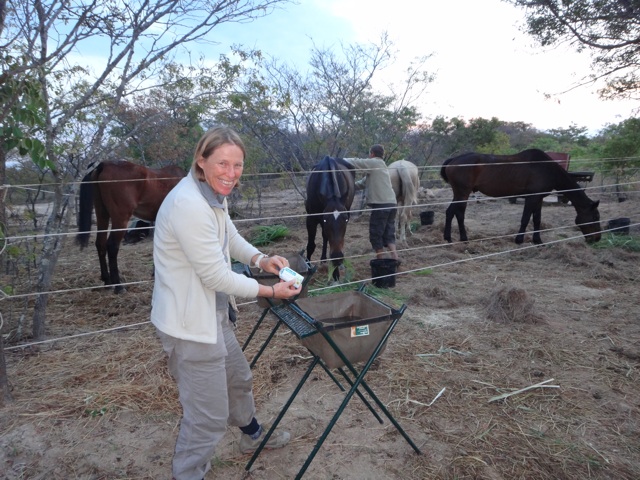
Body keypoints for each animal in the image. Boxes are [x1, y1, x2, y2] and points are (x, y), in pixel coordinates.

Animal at [76, 161, 185, 292]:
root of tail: (104, 164)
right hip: (120, 219)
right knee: (112, 246)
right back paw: (118, 286)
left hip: (102, 214)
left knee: (100, 243)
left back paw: (107, 281)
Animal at [440, 148, 600, 246]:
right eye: (594, 217)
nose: (597, 239)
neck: (546, 168)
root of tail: (453, 160)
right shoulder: (532, 198)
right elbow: (525, 219)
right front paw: (519, 240)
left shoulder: (538, 199)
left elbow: (536, 219)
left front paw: (538, 241)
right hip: (462, 193)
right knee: (453, 212)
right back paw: (452, 238)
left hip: (461, 194)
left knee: (456, 213)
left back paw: (460, 238)